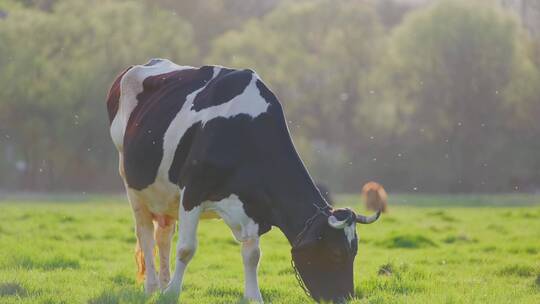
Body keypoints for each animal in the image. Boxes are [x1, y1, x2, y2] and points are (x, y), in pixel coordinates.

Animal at [107, 58, 382, 302]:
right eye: (336, 253)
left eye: (354, 251)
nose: (345, 298)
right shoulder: (192, 191)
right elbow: (186, 249)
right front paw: (173, 294)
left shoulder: (254, 206)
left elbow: (253, 254)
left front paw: (253, 297)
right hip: (132, 184)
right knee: (145, 234)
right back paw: (153, 288)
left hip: (164, 194)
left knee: (163, 235)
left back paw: (163, 283)